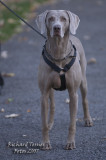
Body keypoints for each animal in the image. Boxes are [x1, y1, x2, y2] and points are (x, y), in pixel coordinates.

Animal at [35, 10, 93, 150]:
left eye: (63, 19)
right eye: (50, 19)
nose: (57, 28)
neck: (58, 53)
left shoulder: (73, 94)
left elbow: (72, 123)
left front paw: (70, 143)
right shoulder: (44, 93)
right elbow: (43, 123)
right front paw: (45, 142)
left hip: (83, 80)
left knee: (85, 100)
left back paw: (87, 119)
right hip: (50, 90)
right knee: (52, 105)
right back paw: (50, 123)